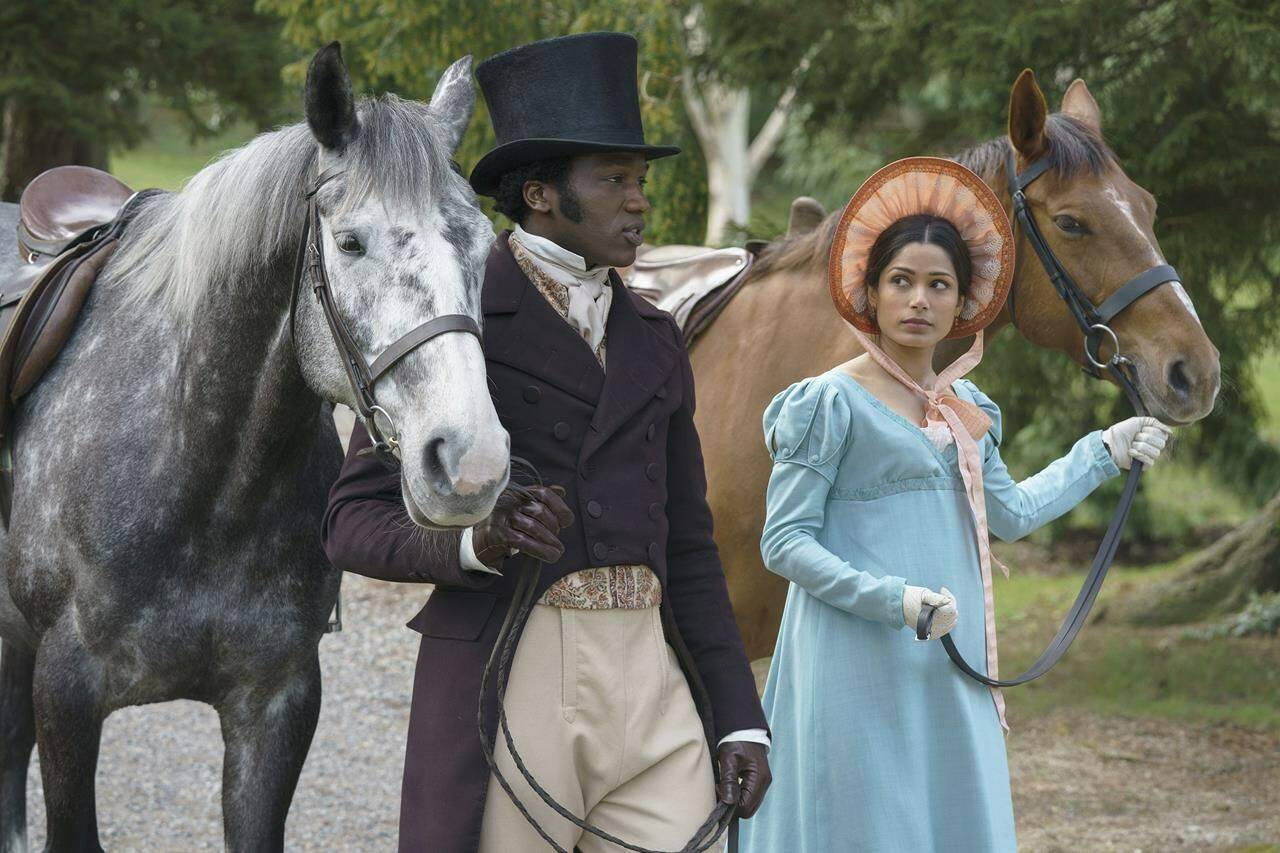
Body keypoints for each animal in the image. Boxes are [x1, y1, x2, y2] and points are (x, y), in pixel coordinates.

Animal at [0, 43, 506, 845]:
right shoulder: (67, 693)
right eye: (349, 242)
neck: (201, 479)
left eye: (483, 243)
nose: (471, 463)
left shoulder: (277, 703)